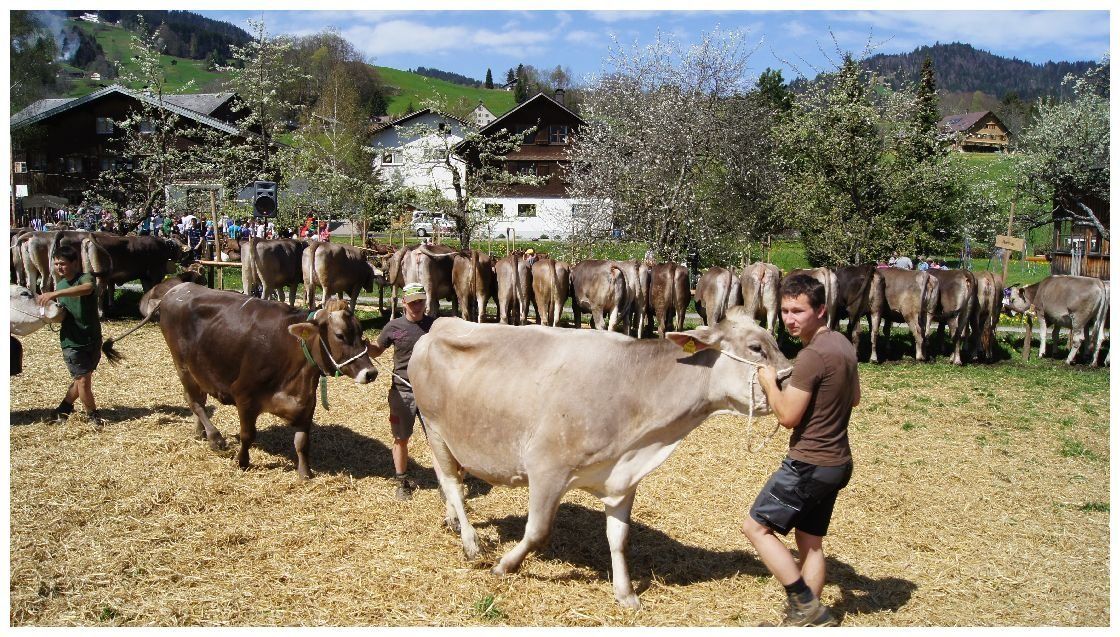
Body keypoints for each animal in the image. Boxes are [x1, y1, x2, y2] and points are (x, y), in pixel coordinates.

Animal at [157, 284, 377, 478]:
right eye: (340, 335)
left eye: (361, 333)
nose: (371, 372)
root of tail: (177, 289)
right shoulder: (244, 396)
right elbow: (247, 435)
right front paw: (242, 462)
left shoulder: (307, 404)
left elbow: (302, 442)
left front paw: (305, 473)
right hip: (183, 366)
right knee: (194, 401)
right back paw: (215, 438)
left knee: (200, 401)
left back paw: (200, 432)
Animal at [409, 306, 792, 609]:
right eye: (756, 348)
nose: (790, 379)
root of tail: (441, 323)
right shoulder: (546, 467)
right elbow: (538, 530)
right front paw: (505, 565)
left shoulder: (623, 479)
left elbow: (619, 539)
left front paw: (625, 593)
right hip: (435, 427)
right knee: (452, 483)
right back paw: (471, 543)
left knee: (449, 480)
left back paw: (453, 522)